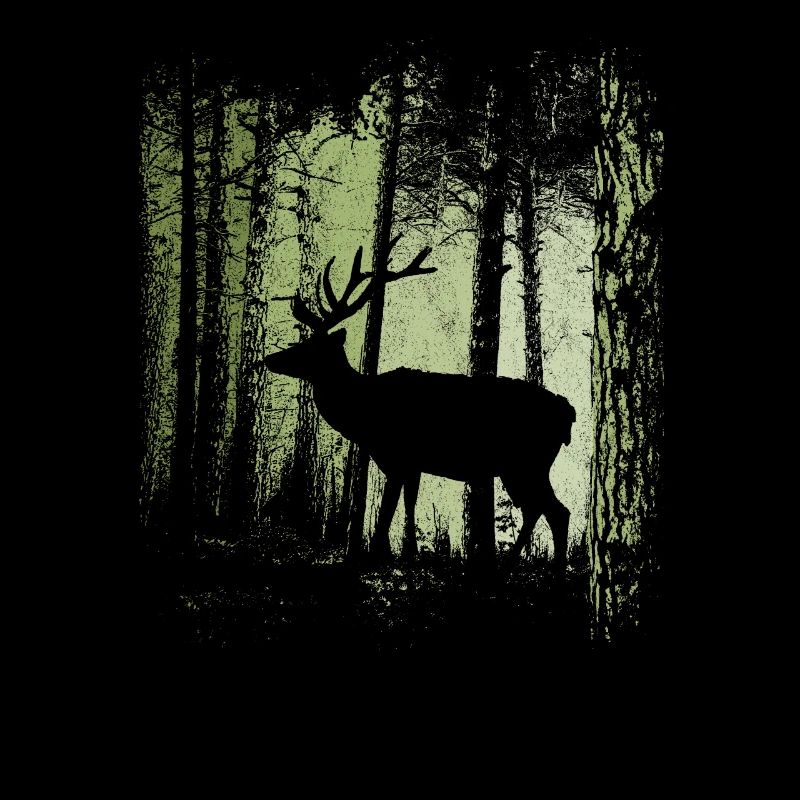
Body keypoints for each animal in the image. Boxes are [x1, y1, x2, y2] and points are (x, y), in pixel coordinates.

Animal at [261, 242, 576, 570]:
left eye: (310, 346)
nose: (269, 358)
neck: (362, 414)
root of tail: (568, 411)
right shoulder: (412, 464)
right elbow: (409, 505)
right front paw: (409, 554)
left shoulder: (397, 456)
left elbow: (387, 511)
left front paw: (373, 556)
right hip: (521, 467)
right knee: (540, 509)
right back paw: (516, 563)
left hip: (528, 461)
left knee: (554, 510)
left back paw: (546, 567)